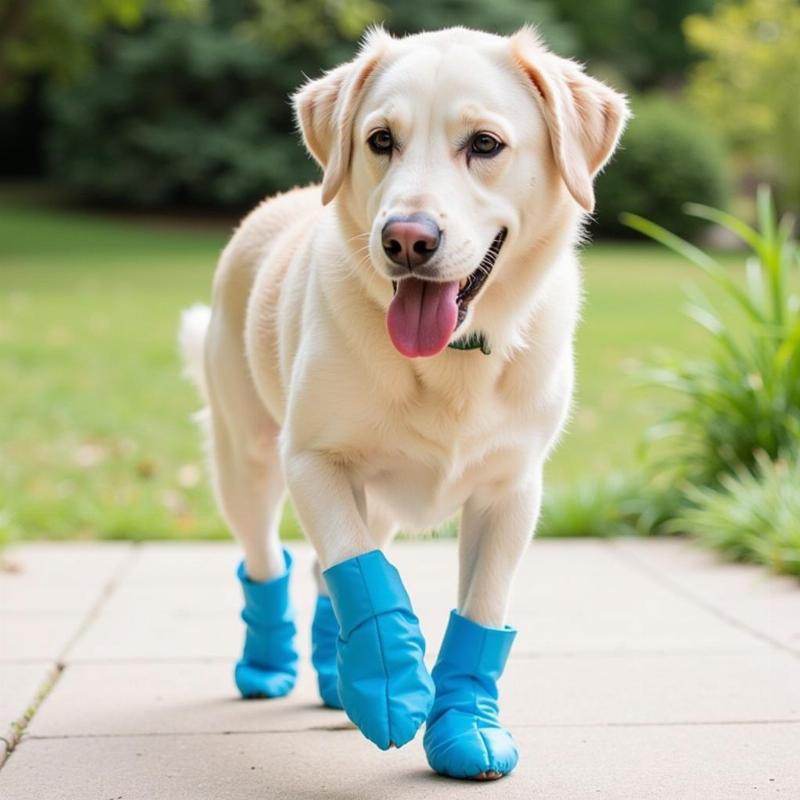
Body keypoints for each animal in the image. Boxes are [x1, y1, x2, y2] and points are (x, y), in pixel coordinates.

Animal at [178, 26, 628, 780]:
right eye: (381, 139)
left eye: (485, 144)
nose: (407, 239)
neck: (450, 361)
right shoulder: (314, 460)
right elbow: (359, 569)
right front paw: (387, 680)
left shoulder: (512, 489)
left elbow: (481, 607)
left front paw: (465, 727)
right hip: (248, 460)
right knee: (270, 559)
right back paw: (268, 666)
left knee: (327, 572)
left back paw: (333, 682)